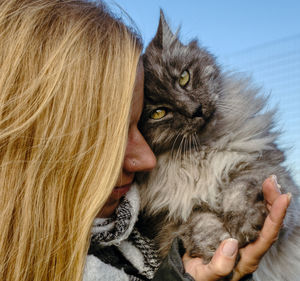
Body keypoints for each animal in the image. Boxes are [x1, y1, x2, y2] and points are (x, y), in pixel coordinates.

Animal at [137, 9, 300, 278]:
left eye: (184, 78)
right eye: (158, 113)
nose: (195, 110)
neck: (201, 154)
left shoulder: (269, 173)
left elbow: (239, 189)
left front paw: (243, 222)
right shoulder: (168, 220)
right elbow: (197, 223)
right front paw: (218, 244)